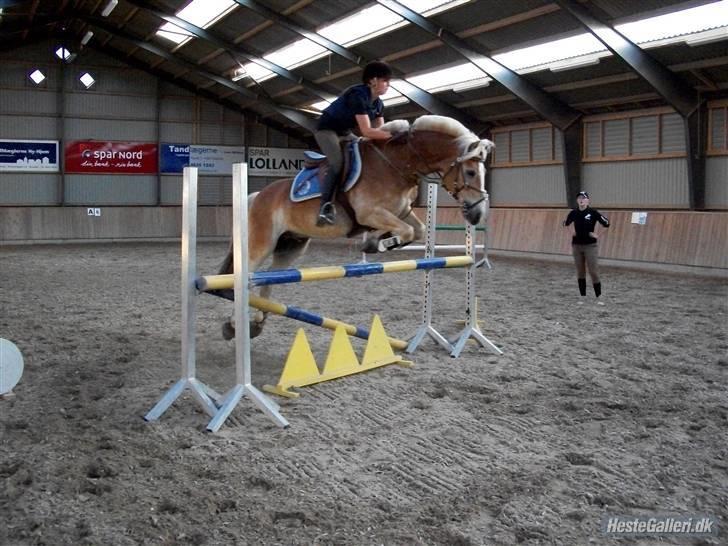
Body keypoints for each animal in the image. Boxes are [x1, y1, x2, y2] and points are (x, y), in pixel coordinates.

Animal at [219, 113, 494, 338]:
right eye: (471, 173)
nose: (477, 214)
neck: (395, 163)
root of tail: (256, 196)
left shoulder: (402, 212)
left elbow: (417, 230)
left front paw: (374, 242)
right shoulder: (369, 212)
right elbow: (404, 231)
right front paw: (379, 244)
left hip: (292, 245)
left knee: (269, 277)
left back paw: (257, 322)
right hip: (262, 242)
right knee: (246, 274)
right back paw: (233, 325)